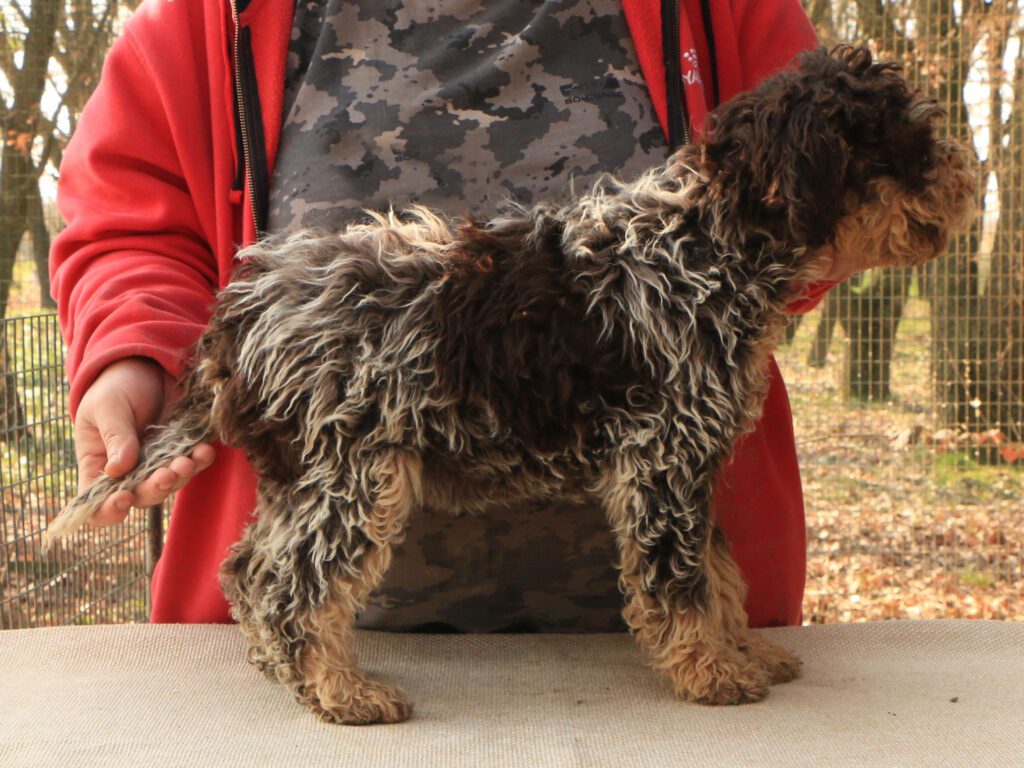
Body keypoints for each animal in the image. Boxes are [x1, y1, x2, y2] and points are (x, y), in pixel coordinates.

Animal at [48, 46, 974, 720]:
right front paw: (712, 671)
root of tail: (238, 311)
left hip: (301, 473)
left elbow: (718, 571)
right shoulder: (665, 461)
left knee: (249, 568)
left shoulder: (691, 463)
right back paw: (343, 690)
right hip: (352, 474)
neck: (705, 244)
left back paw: (291, 673)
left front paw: (743, 648)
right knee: (295, 587)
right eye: (903, 143)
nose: (967, 179)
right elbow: (682, 579)